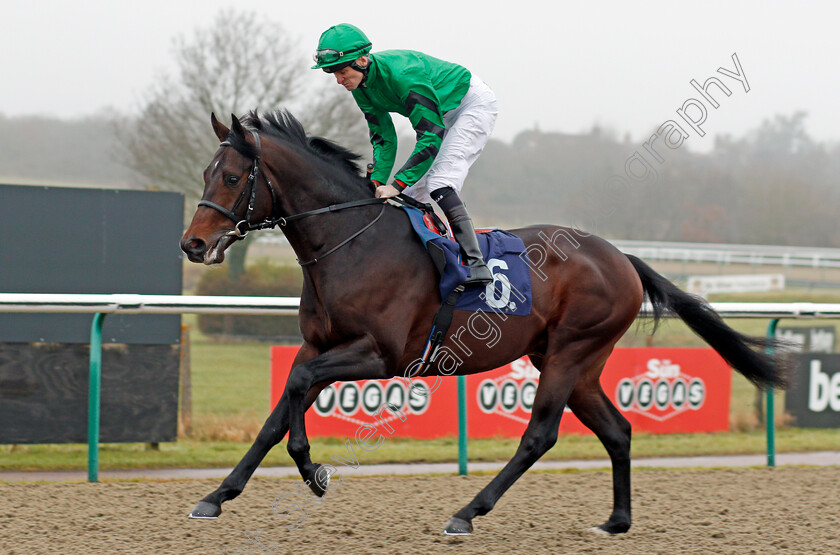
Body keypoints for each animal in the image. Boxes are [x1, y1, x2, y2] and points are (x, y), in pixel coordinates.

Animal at [179, 111, 788, 536]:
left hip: (569, 352)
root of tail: (621, 257)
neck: (351, 242)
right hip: (578, 362)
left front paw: (314, 471)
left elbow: (299, 393)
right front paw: (216, 496)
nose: (193, 244)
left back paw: (468, 512)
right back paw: (616, 521)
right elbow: (278, 413)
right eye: (205, 172)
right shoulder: (317, 346)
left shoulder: (379, 354)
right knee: (618, 430)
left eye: (230, 176)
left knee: (539, 434)